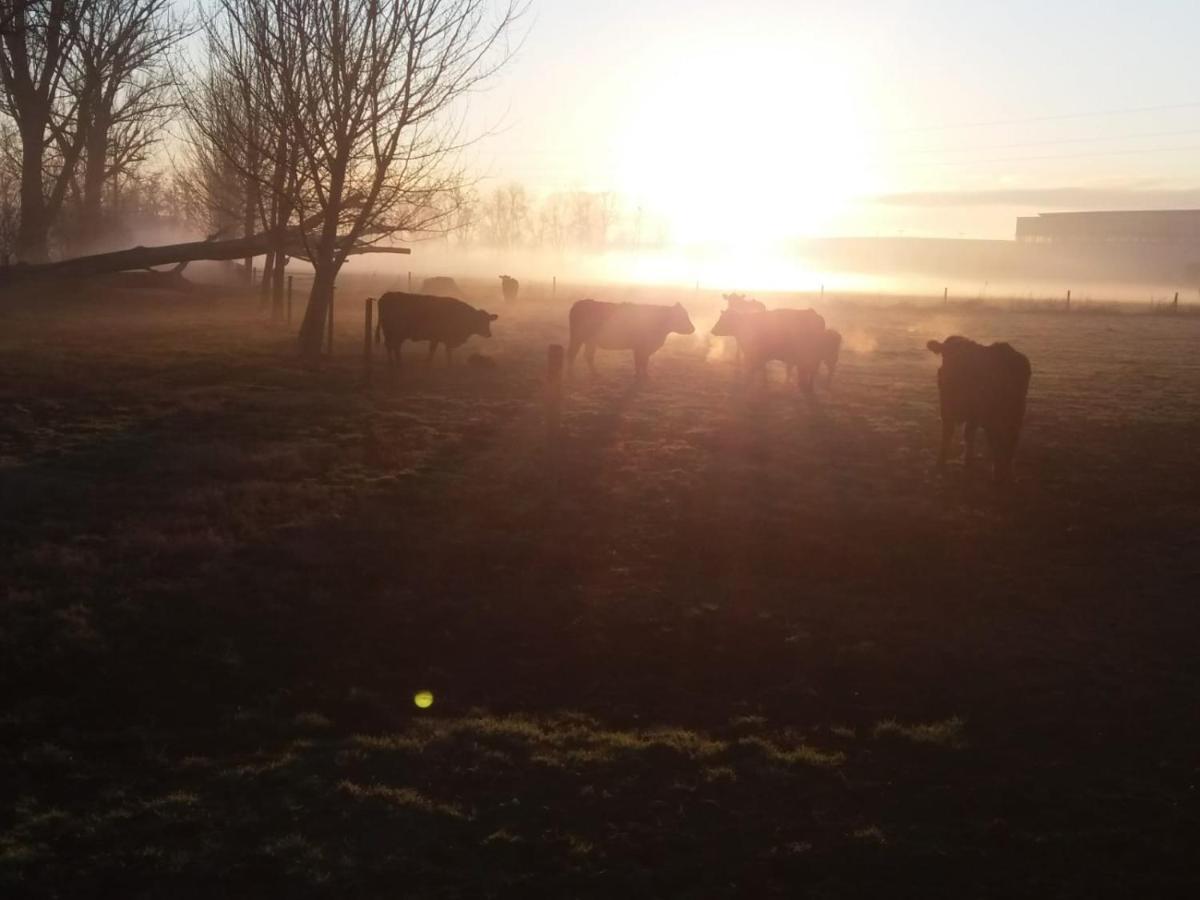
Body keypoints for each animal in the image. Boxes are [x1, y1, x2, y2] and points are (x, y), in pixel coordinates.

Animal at [568, 297, 700, 379]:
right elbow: (640, 361)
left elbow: (643, 362)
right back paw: (572, 375)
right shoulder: (640, 348)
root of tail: (579, 303)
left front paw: (643, 375)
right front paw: (640, 376)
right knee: (572, 354)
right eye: (682, 316)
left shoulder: (643, 349)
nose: (693, 329)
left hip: (590, 341)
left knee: (588, 356)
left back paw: (595, 374)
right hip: (577, 338)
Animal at [926, 336, 1032, 482]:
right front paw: (942, 463)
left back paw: (1003, 470)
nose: (944, 375)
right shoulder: (948, 410)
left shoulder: (978, 414)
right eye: (944, 355)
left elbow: (972, 435)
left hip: (1013, 411)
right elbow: (949, 436)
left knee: (1008, 439)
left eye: (964, 359)